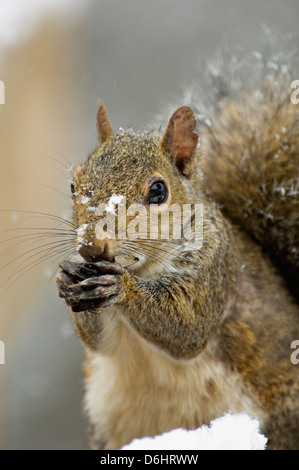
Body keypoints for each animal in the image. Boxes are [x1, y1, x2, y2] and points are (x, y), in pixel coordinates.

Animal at [56, 46, 299, 450]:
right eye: (74, 185)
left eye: (158, 191)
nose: (91, 246)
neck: (142, 268)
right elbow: (97, 342)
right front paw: (68, 277)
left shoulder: (215, 269)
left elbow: (186, 326)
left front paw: (121, 289)